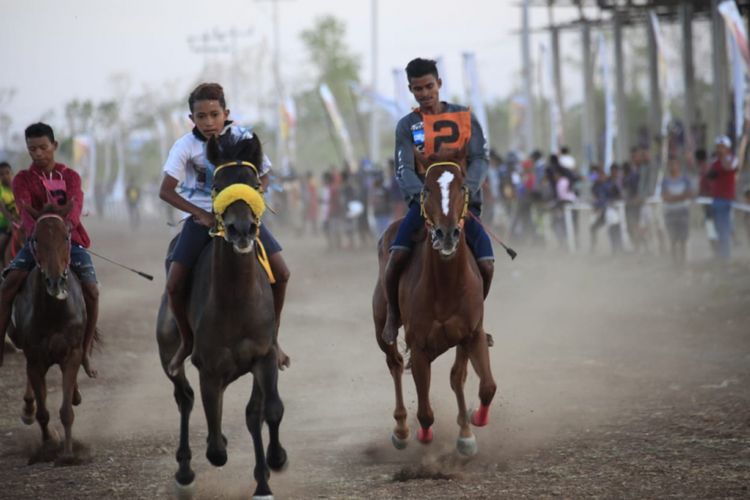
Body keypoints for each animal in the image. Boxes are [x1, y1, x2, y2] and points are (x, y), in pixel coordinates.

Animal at [9, 212, 88, 464]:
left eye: (66, 237)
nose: (55, 282)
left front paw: (68, 453)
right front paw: (49, 443)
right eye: (36, 239)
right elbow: (43, 413)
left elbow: (66, 411)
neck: (54, 311)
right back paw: (28, 410)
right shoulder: (35, 358)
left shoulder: (71, 354)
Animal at [156, 133, 288, 500]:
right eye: (216, 186)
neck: (235, 302)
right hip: (169, 354)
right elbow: (215, 446)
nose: (241, 229)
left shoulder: (264, 356)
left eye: (255, 184)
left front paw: (272, 467)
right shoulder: (209, 370)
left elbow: (268, 411)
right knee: (184, 398)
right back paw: (185, 472)